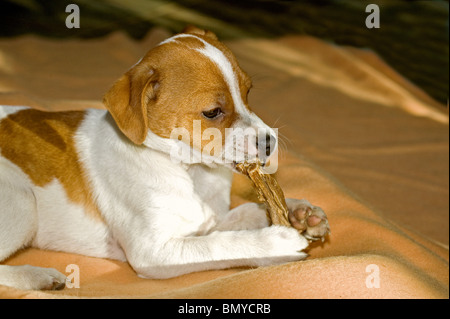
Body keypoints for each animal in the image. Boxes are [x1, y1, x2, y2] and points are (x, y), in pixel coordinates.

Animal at [0, 27, 330, 292]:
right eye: (212, 112)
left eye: (248, 93)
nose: (270, 141)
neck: (189, 172)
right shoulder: (154, 252)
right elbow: (224, 244)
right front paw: (276, 243)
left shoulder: (210, 220)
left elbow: (246, 212)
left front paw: (300, 212)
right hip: (22, 201)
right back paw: (37, 276)